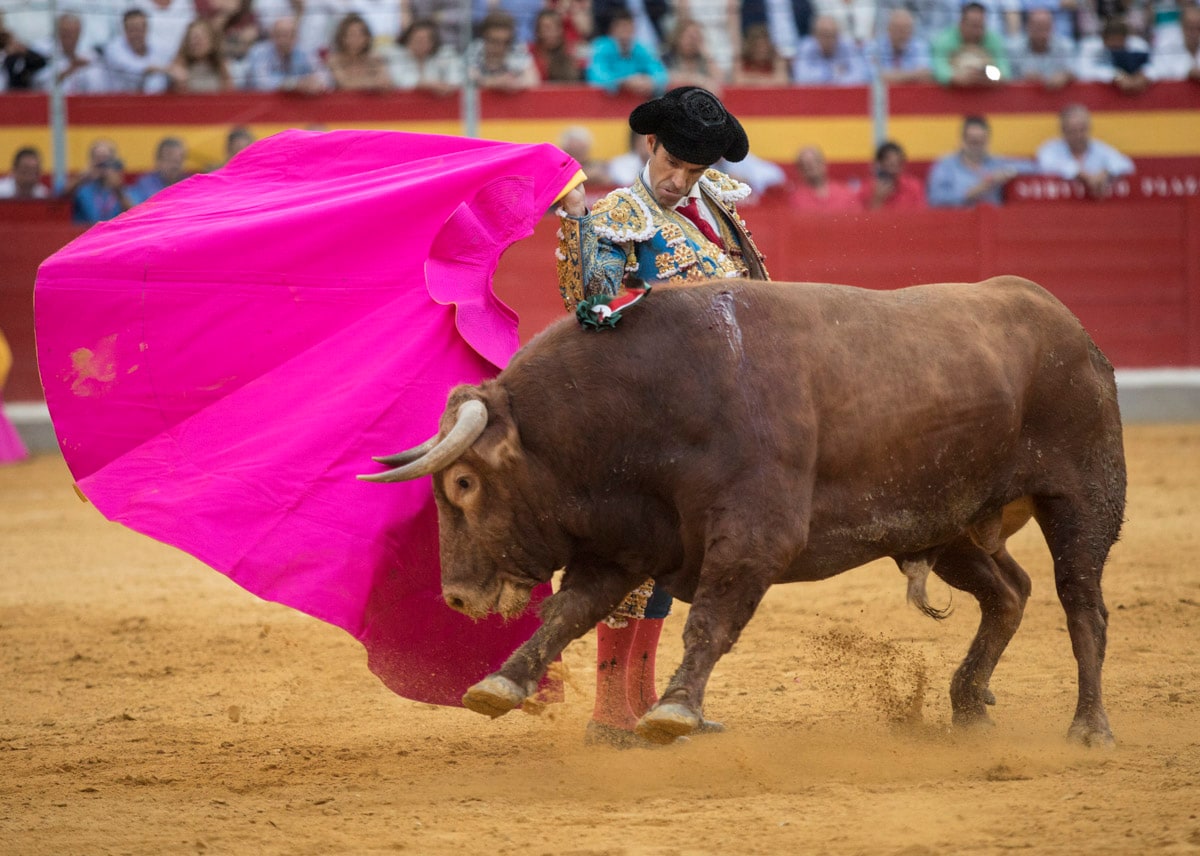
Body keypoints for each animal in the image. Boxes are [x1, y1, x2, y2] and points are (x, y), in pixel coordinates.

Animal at [362, 277, 1123, 744]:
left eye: (463, 483)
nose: (457, 598)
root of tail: (1070, 325)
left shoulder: (756, 537)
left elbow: (709, 620)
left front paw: (673, 710)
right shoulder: (622, 545)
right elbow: (568, 615)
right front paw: (501, 682)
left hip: (1082, 495)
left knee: (1081, 602)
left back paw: (1089, 727)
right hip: (950, 519)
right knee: (1009, 593)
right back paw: (967, 704)